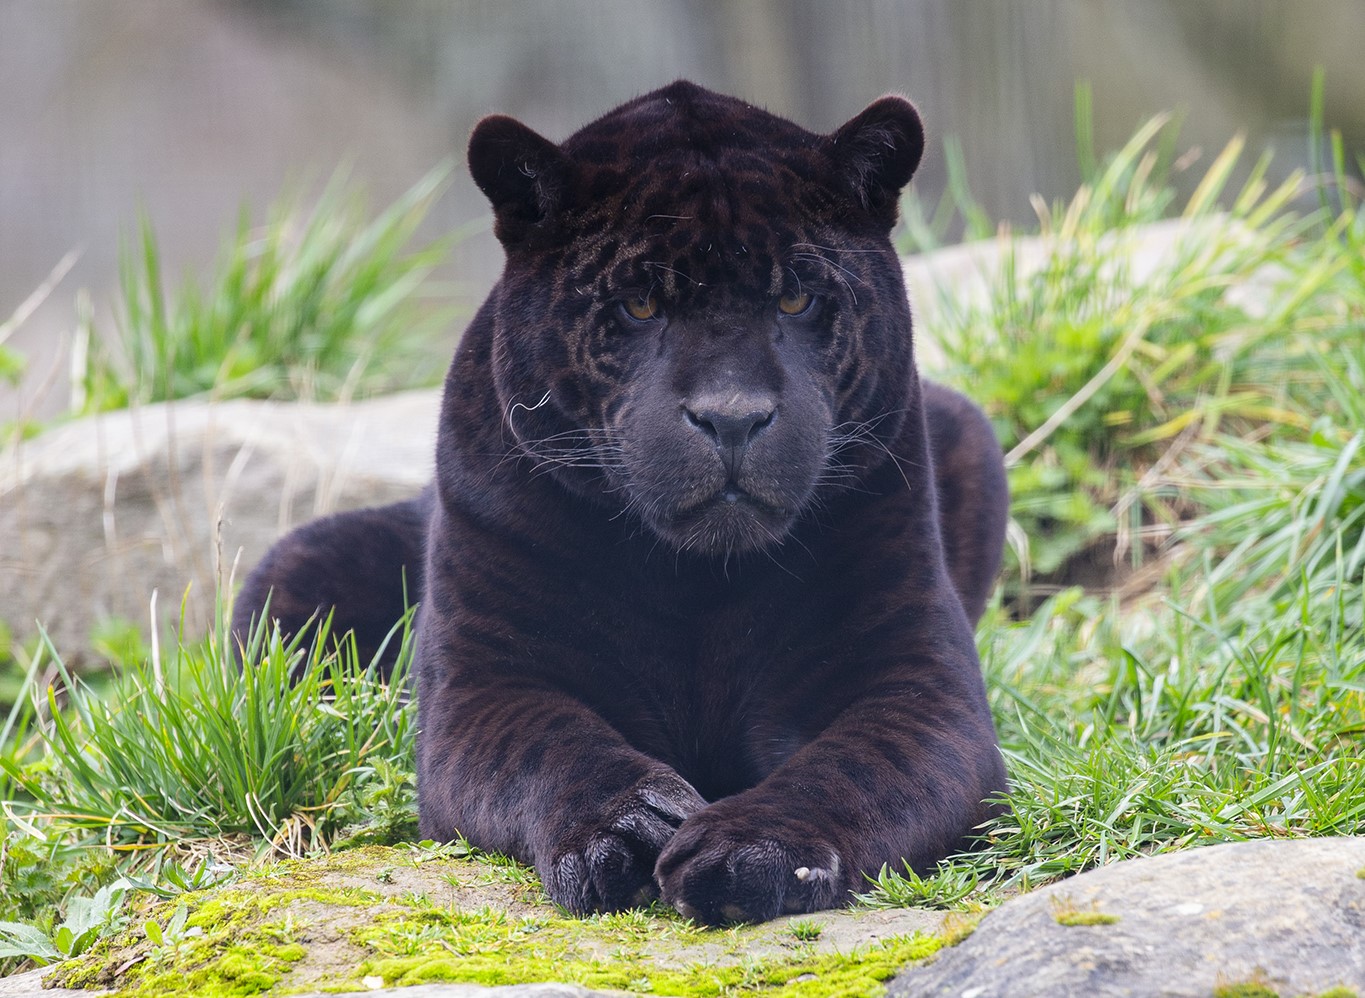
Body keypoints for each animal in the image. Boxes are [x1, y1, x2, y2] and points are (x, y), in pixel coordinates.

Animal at [232, 80, 1009, 925]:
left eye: (796, 299)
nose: (730, 417)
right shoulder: (487, 685)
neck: (700, 585)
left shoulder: (915, 683)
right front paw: (626, 831)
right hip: (292, 568)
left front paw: (748, 850)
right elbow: (552, 748)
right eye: (639, 308)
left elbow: (848, 770)